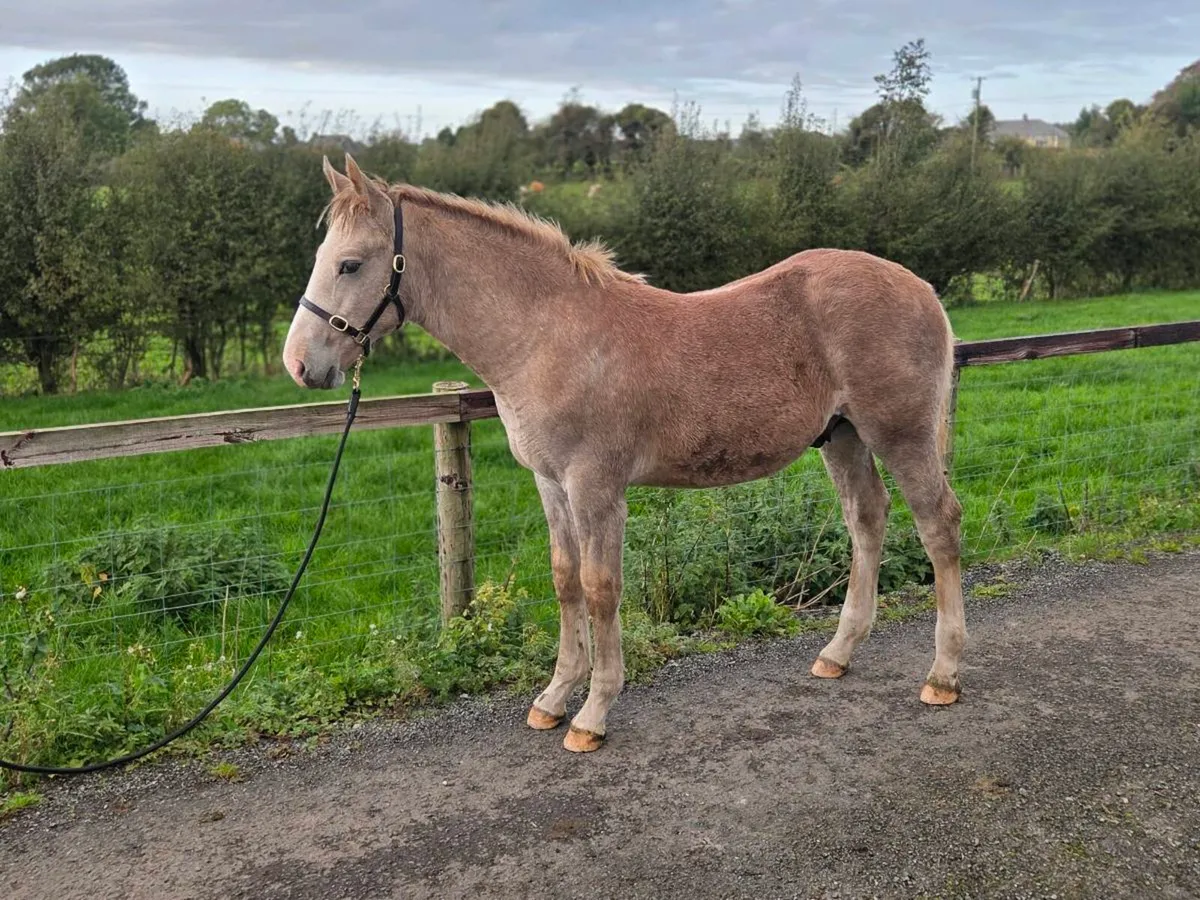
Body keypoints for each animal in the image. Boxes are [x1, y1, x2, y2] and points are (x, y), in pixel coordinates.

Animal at [282, 154, 965, 753]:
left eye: (349, 264)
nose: (299, 364)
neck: (545, 335)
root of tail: (923, 289)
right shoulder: (551, 483)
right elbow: (565, 581)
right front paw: (553, 698)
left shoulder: (596, 488)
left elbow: (601, 586)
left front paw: (592, 714)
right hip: (842, 437)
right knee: (867, 519)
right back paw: (838, 654)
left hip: (899, 436)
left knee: (939, 526)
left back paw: (943, 674)